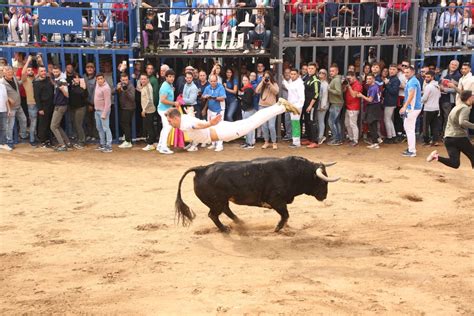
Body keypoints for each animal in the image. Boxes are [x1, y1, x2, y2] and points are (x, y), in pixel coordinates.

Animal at [176, 156, 338, 232]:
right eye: (323, 182)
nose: (324, 196)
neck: (293, 172)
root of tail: (202, 169)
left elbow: (286, 216)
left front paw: (285, 227)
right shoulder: (276, 201)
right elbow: (285, 215)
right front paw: (278, 228)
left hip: (222, 201)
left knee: (226, 210)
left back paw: (240, 222)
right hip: (217, 202)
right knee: (213, 215)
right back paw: (225, 229)